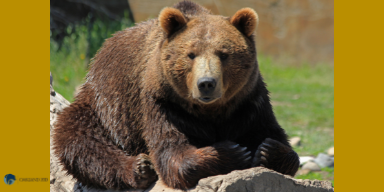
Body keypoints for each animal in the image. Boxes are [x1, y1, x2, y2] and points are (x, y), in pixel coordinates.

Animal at [53, 0, 300, 190]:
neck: (211, 111)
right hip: (103, 105)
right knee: (78, 137)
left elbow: (275, 136)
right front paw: (232, 152)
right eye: (191, 54)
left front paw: (268, 150)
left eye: (224, 54)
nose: (206, 83)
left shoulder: (249, 101)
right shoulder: (163, 102)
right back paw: (140, 168)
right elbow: (172, 152)